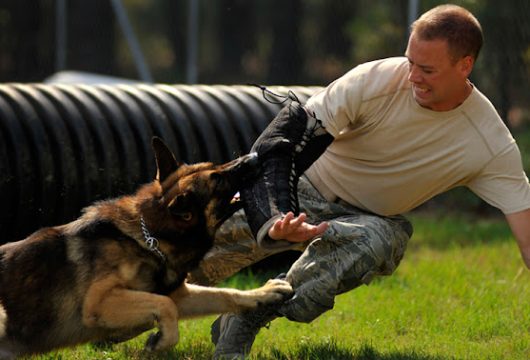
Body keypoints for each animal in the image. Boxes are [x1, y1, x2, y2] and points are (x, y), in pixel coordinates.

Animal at [0, 137, 288, 358]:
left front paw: (264, 292)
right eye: (217, 179)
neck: (151, 239)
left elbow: (224, 294)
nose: (255, 156)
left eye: (213, 166)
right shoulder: (100, 301)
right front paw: (158, 342)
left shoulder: (180, 294)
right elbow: (165, 305)